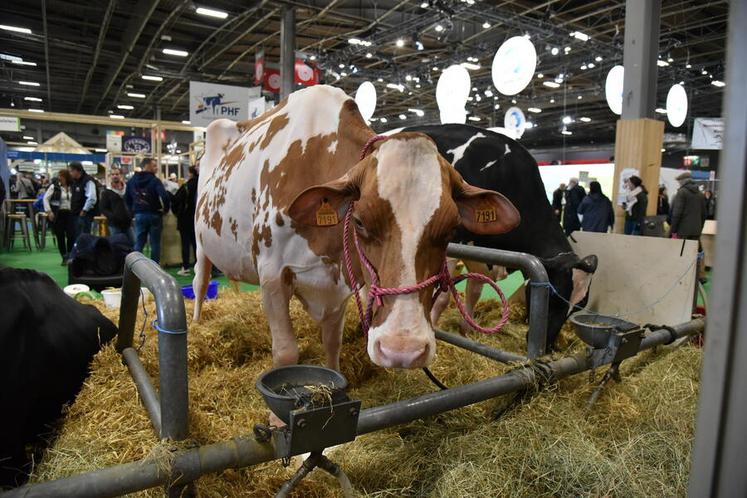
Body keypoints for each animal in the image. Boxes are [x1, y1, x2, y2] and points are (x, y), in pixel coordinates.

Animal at [193, 85, 520, 372]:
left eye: (452, 229)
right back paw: (196, 324)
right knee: (200, 281)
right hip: (200, 242)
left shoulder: (340, 279)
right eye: (359, 221)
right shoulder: (272, 273)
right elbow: (286, 352)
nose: (402, 350)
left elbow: (331, 342)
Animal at [406, 124, 600, 350]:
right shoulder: (452, 243)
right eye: (553, 295)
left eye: (579, 307)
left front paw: (466, 332)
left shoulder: (482, 252)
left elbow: (475, 289)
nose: (548, 346)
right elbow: (443, 296)